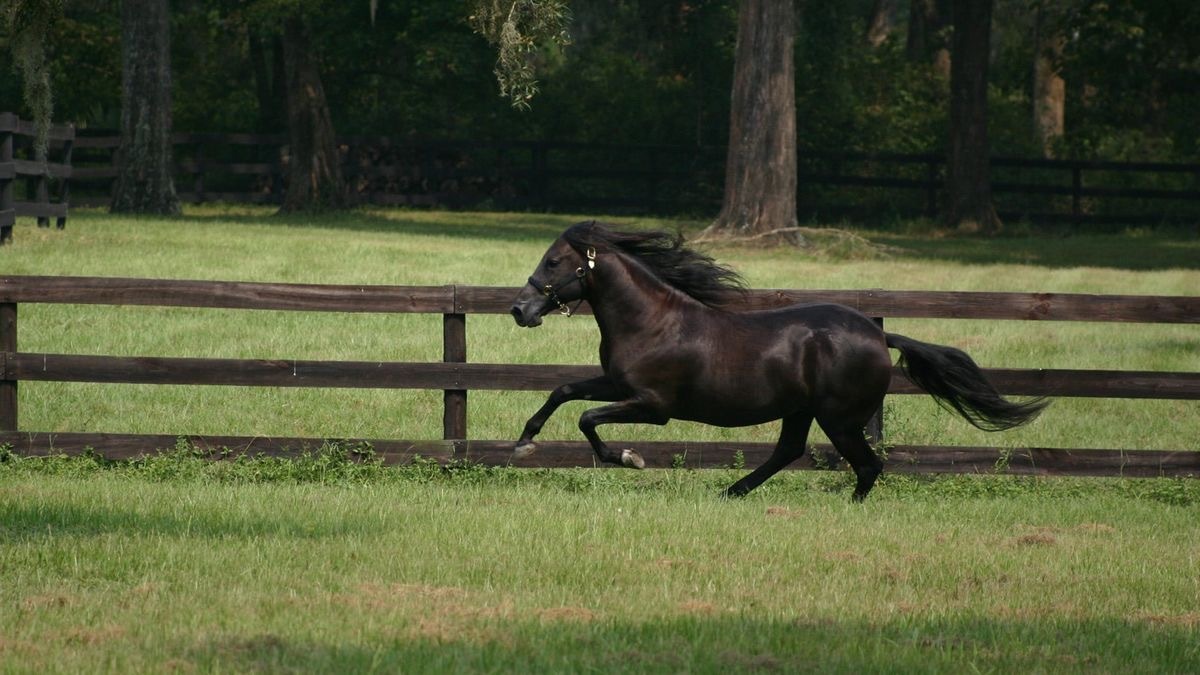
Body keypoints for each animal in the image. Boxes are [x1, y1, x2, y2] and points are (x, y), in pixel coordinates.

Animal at [509, 221, 1048, 501]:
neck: (653, 321)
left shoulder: (652, 405)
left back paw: (847, 506)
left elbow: (586, 417)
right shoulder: (616, 384)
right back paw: (732, 492)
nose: (520, 309)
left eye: (553, 262)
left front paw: (627, 458)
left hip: (839, 418)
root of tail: (879, 334)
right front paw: (524, 443)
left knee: (868, 464)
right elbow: (563, 392)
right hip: (801, 410)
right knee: (789, 451)